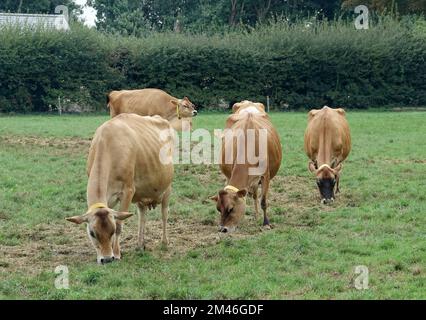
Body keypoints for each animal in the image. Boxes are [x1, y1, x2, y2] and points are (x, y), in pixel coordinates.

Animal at [65, 114, 175, 264]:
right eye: (92, 233)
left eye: (111, 231)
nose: (106, 259)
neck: (107, 145)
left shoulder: (128, 190)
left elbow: (119, 224)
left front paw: (116, 253)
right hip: (141, 194)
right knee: (142, 216)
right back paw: (140, 244)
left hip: (167, 188)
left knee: (164, 214)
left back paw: (164, 242)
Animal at [211, 100, 282, 232]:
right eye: (218, 209)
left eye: (231, 209)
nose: (223, 229)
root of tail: (248, 103)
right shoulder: (230, 174)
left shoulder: (265, 175)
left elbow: (263, 201)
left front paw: (266, 223)